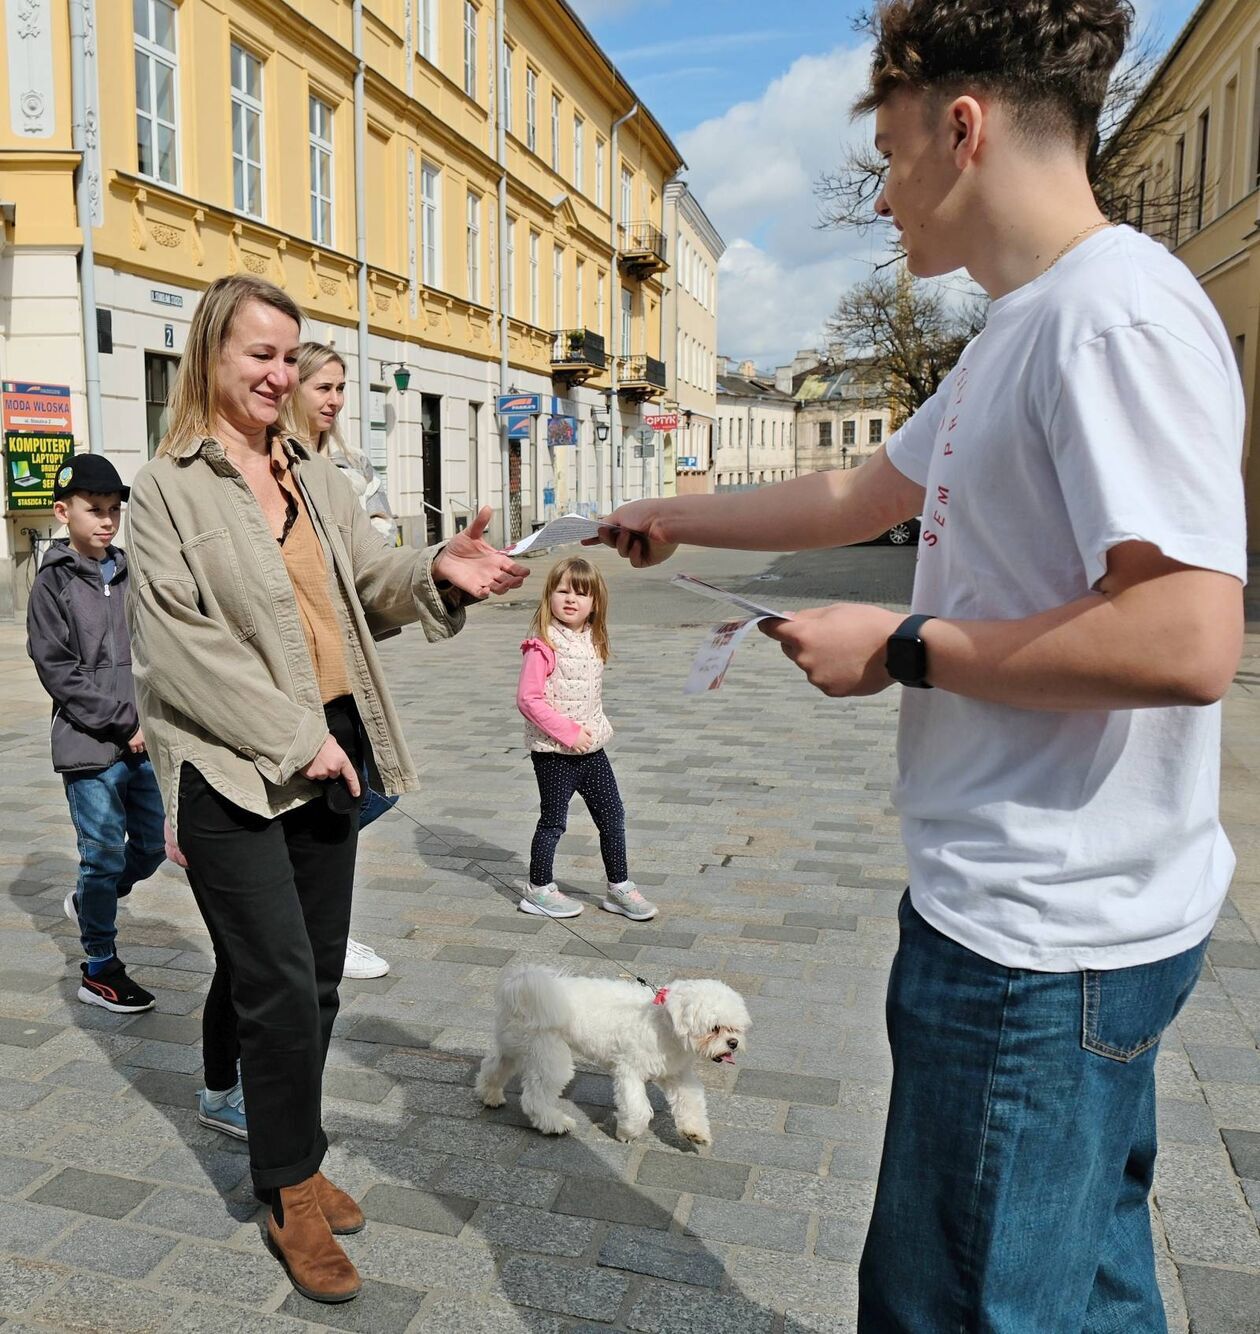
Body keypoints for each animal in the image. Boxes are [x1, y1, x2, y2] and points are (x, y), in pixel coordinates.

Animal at [472, 965, 746, 1141]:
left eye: (736, 1029)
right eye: (714, 1028)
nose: (733, 1043)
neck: (664, 1022)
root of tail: (520, 984)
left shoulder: (676, 1074)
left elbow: (691, 1100)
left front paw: (695, 1132)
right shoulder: (629, 1071)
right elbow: (637, 1109)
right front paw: (627, 1133)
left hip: (515, 1045)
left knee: (493, 1066)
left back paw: (490, 1095)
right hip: (549, 1053)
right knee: (534, 1098)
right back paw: (556, 1124)